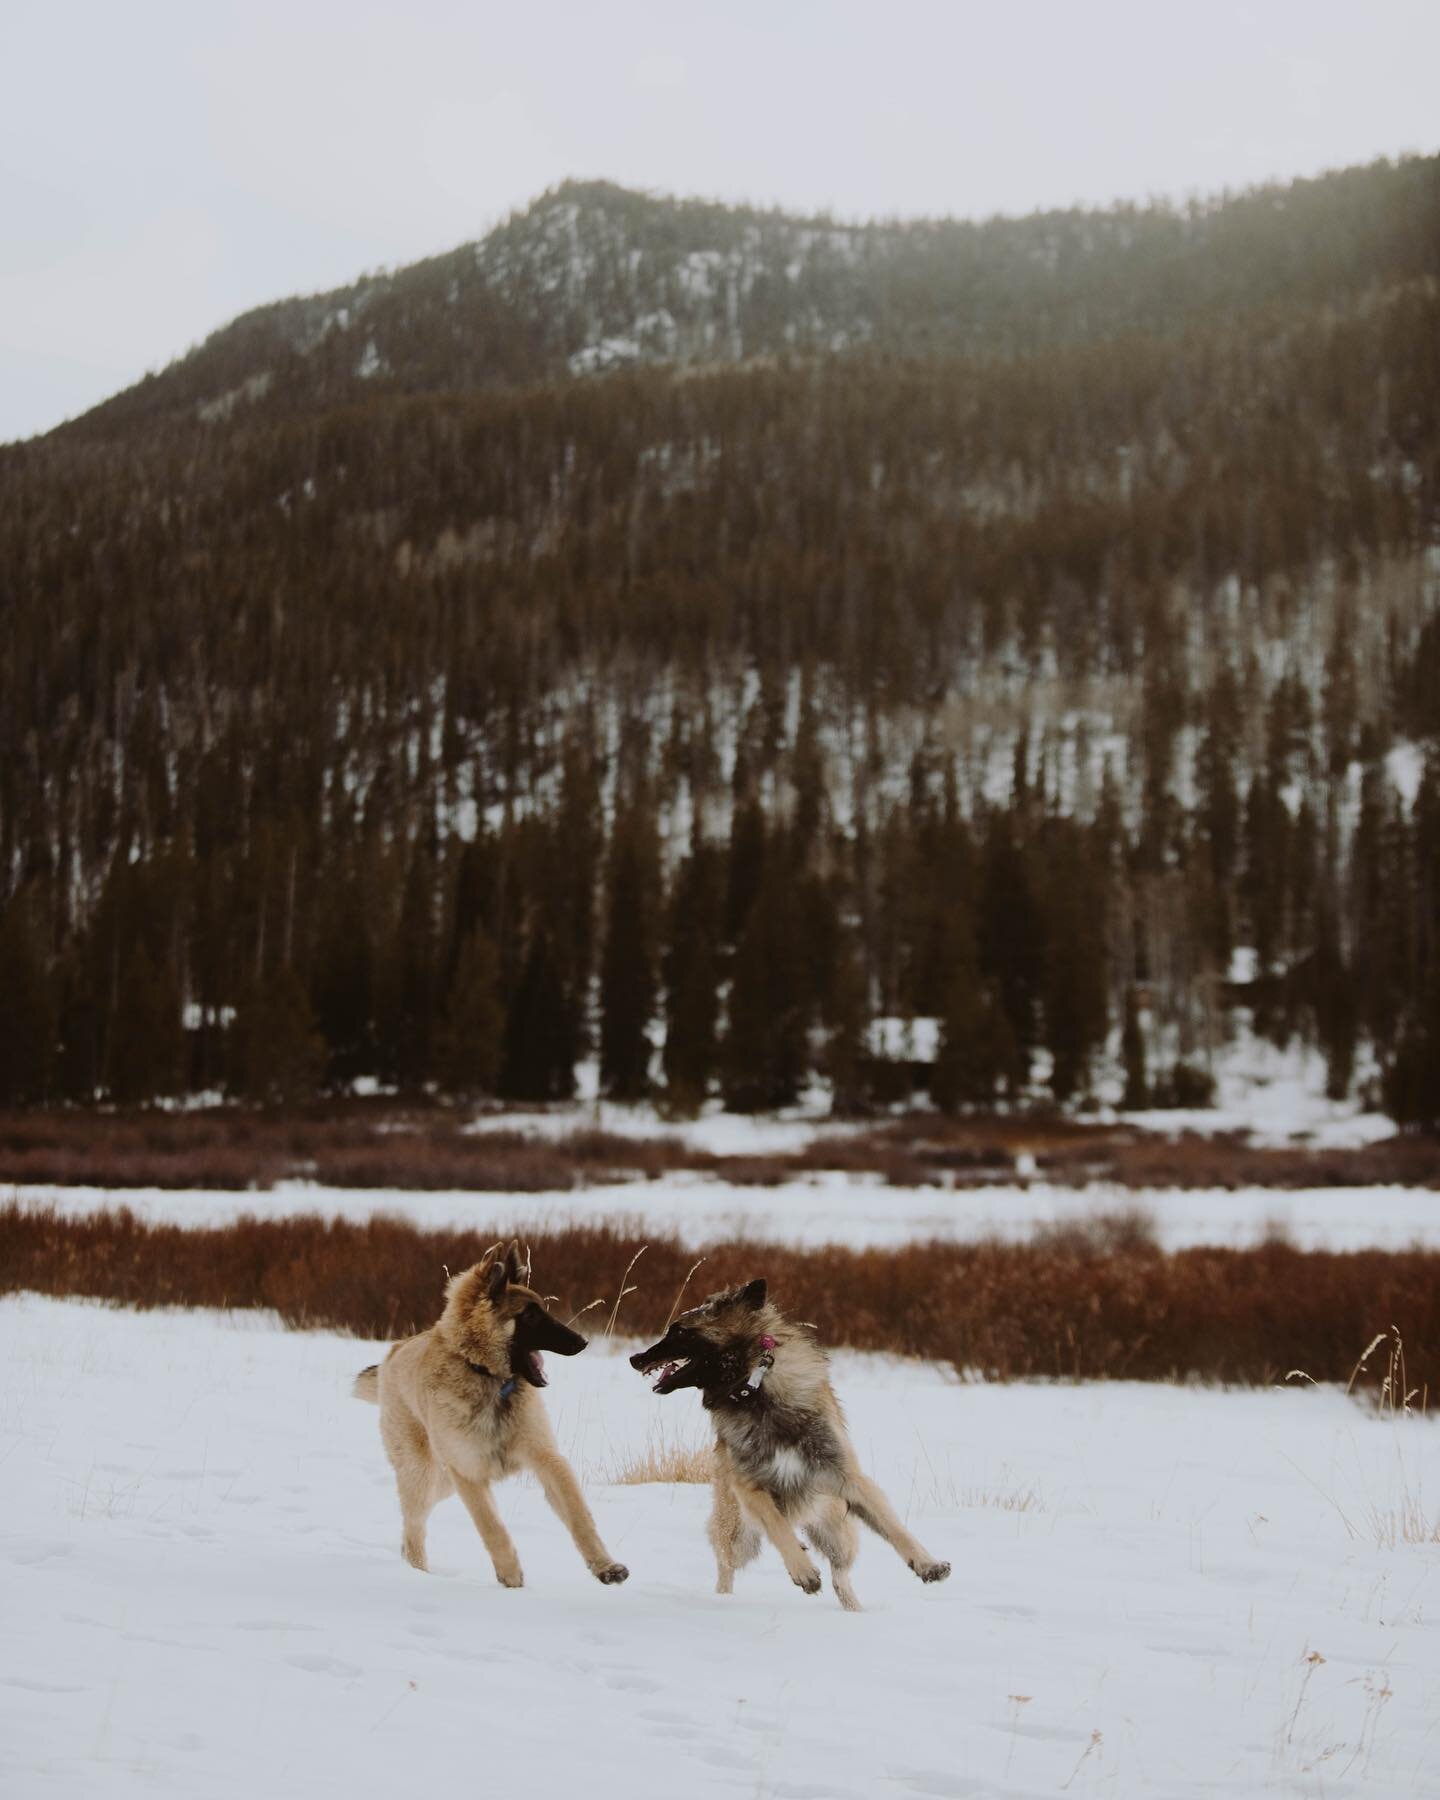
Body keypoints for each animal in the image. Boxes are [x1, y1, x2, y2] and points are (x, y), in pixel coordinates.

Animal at [626, 1274, 943, 1612]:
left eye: (680, 1331)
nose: (635, 1359)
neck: (755, 1390)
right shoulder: (750, 1489)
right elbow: (777, 1526)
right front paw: (803, 1571)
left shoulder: (848, 1478)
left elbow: (893, 1526)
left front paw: (928, 1564)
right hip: (737, 1533)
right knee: (726, 1566)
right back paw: (726, 1598)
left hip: (837, 1531)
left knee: (840, 1575)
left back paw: (853, 1610)